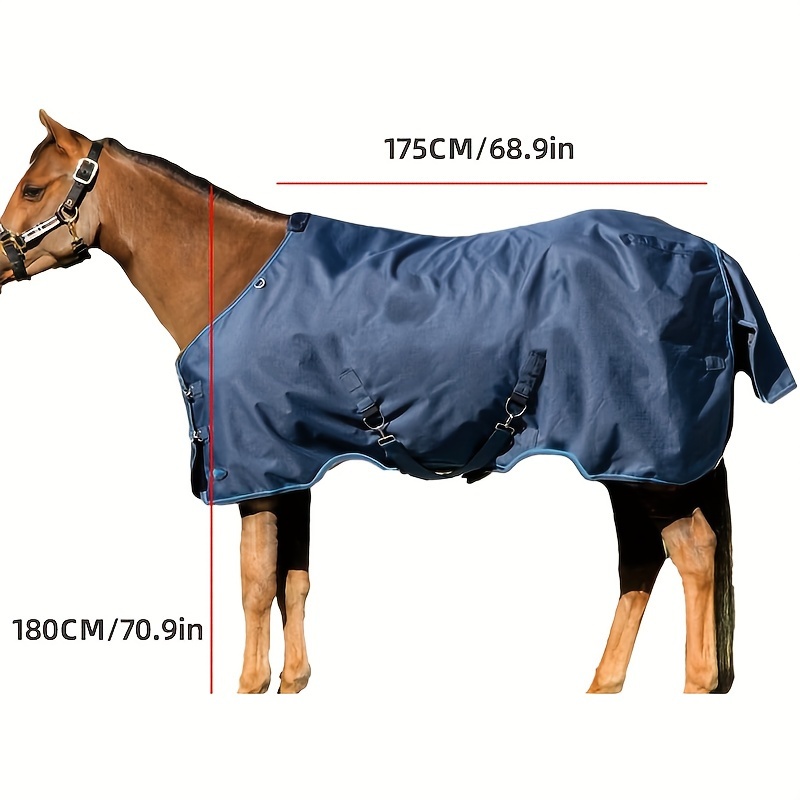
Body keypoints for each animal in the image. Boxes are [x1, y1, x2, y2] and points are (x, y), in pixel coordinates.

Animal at [1, 111, 794, 694]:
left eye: (35, 189)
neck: (237, 281)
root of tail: (710, 256)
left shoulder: (255, 470)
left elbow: (255, 583)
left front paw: (250, 687)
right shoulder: (292, 466)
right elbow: (294, 578)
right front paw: (293, 684)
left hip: (644, 457)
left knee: (692, 556)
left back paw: (691, 687)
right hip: (636, 463)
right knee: (644, 561)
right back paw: (602, 688)